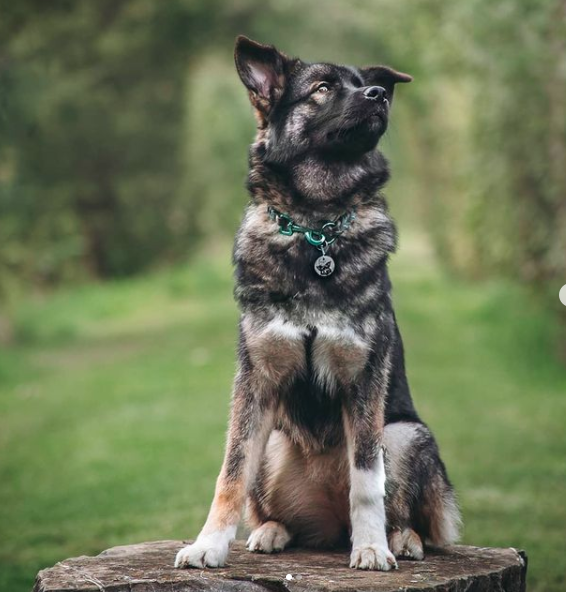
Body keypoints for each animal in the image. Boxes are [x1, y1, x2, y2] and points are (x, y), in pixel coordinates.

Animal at [176, 34, 462, 572]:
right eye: (323, 88)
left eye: (363, 82)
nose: (379, 94)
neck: (316, 228)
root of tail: (330, 525)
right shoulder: (256, 382)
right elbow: (230, 472)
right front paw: (208, 545)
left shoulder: (363, 380)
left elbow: (368, 481)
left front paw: (371, 547)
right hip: (276, 440)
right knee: (274, 507)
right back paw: (271, 530)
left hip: (406, 435)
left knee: (405, 512)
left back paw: (400, 539)